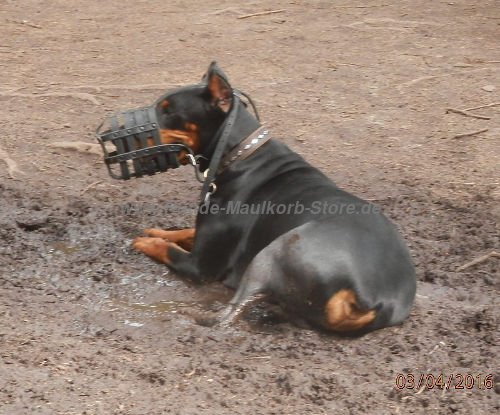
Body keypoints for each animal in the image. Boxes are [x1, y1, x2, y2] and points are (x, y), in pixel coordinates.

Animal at [131, 61, 416, 334]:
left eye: (168, 111)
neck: (239, 154)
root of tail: (373, 302)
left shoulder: (200, 265)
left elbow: (167, 249)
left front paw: (146, 241)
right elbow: (183, 231)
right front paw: (157, 231)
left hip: (273, 252)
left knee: (227, 314)